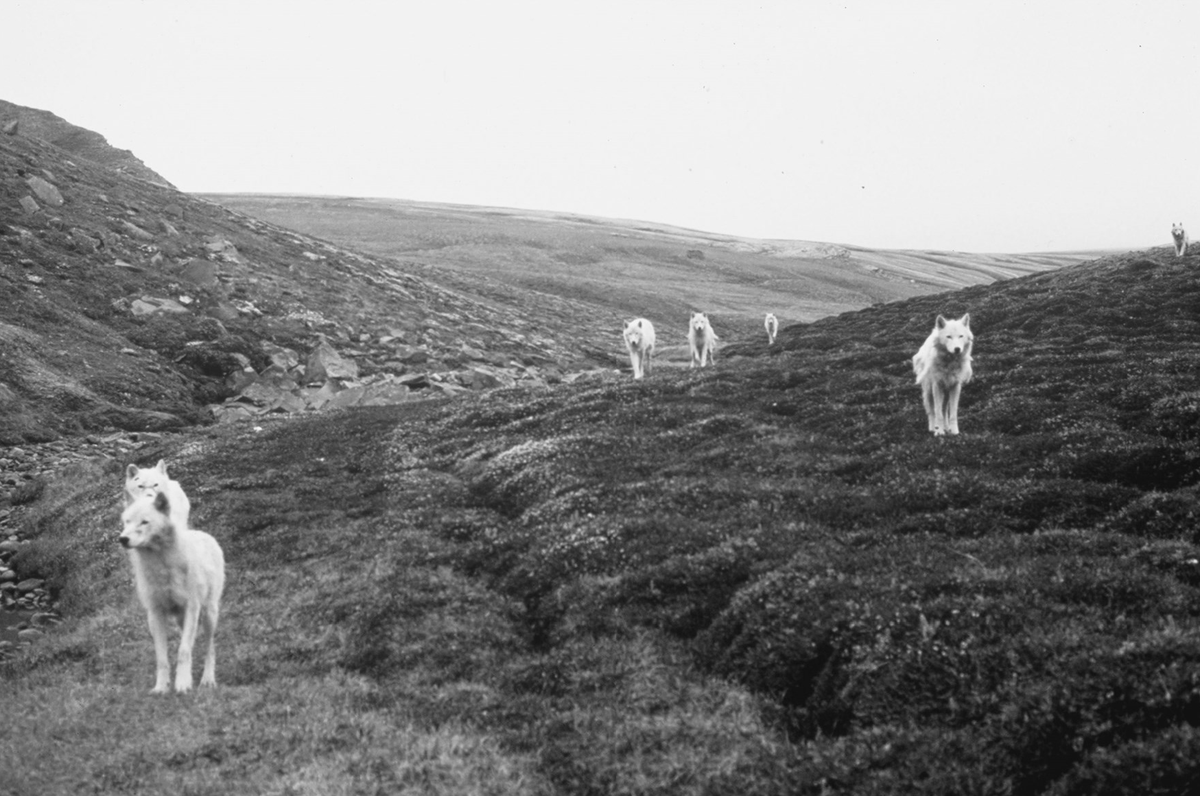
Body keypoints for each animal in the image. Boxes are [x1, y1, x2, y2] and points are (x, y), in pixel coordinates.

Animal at [120, 490, 225, 693]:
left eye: (144, 522)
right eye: (127, 522)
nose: (122, 539)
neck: (162, 565)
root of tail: (204, 534)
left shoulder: (192, 608)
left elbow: (183, 651)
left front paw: (182, 684)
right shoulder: (155, 614)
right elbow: (162, 658)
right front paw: (161, 687)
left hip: (209, 614)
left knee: (210, 648)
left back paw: (207, 680)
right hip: (179, 619)